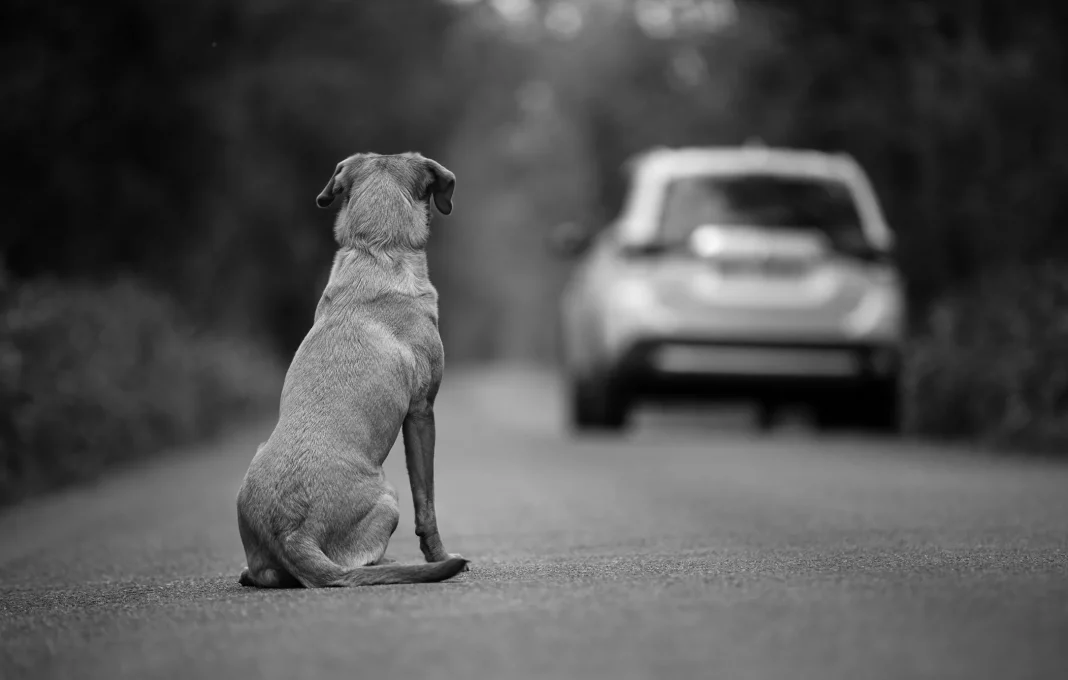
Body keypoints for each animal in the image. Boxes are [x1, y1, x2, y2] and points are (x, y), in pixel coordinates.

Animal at [236, 151, 469, 584]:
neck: (376, 249)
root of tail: (292, 532)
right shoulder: (422, 412)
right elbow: (426, 502)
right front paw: (439, 554)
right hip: (390, 497)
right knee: (362, 560)